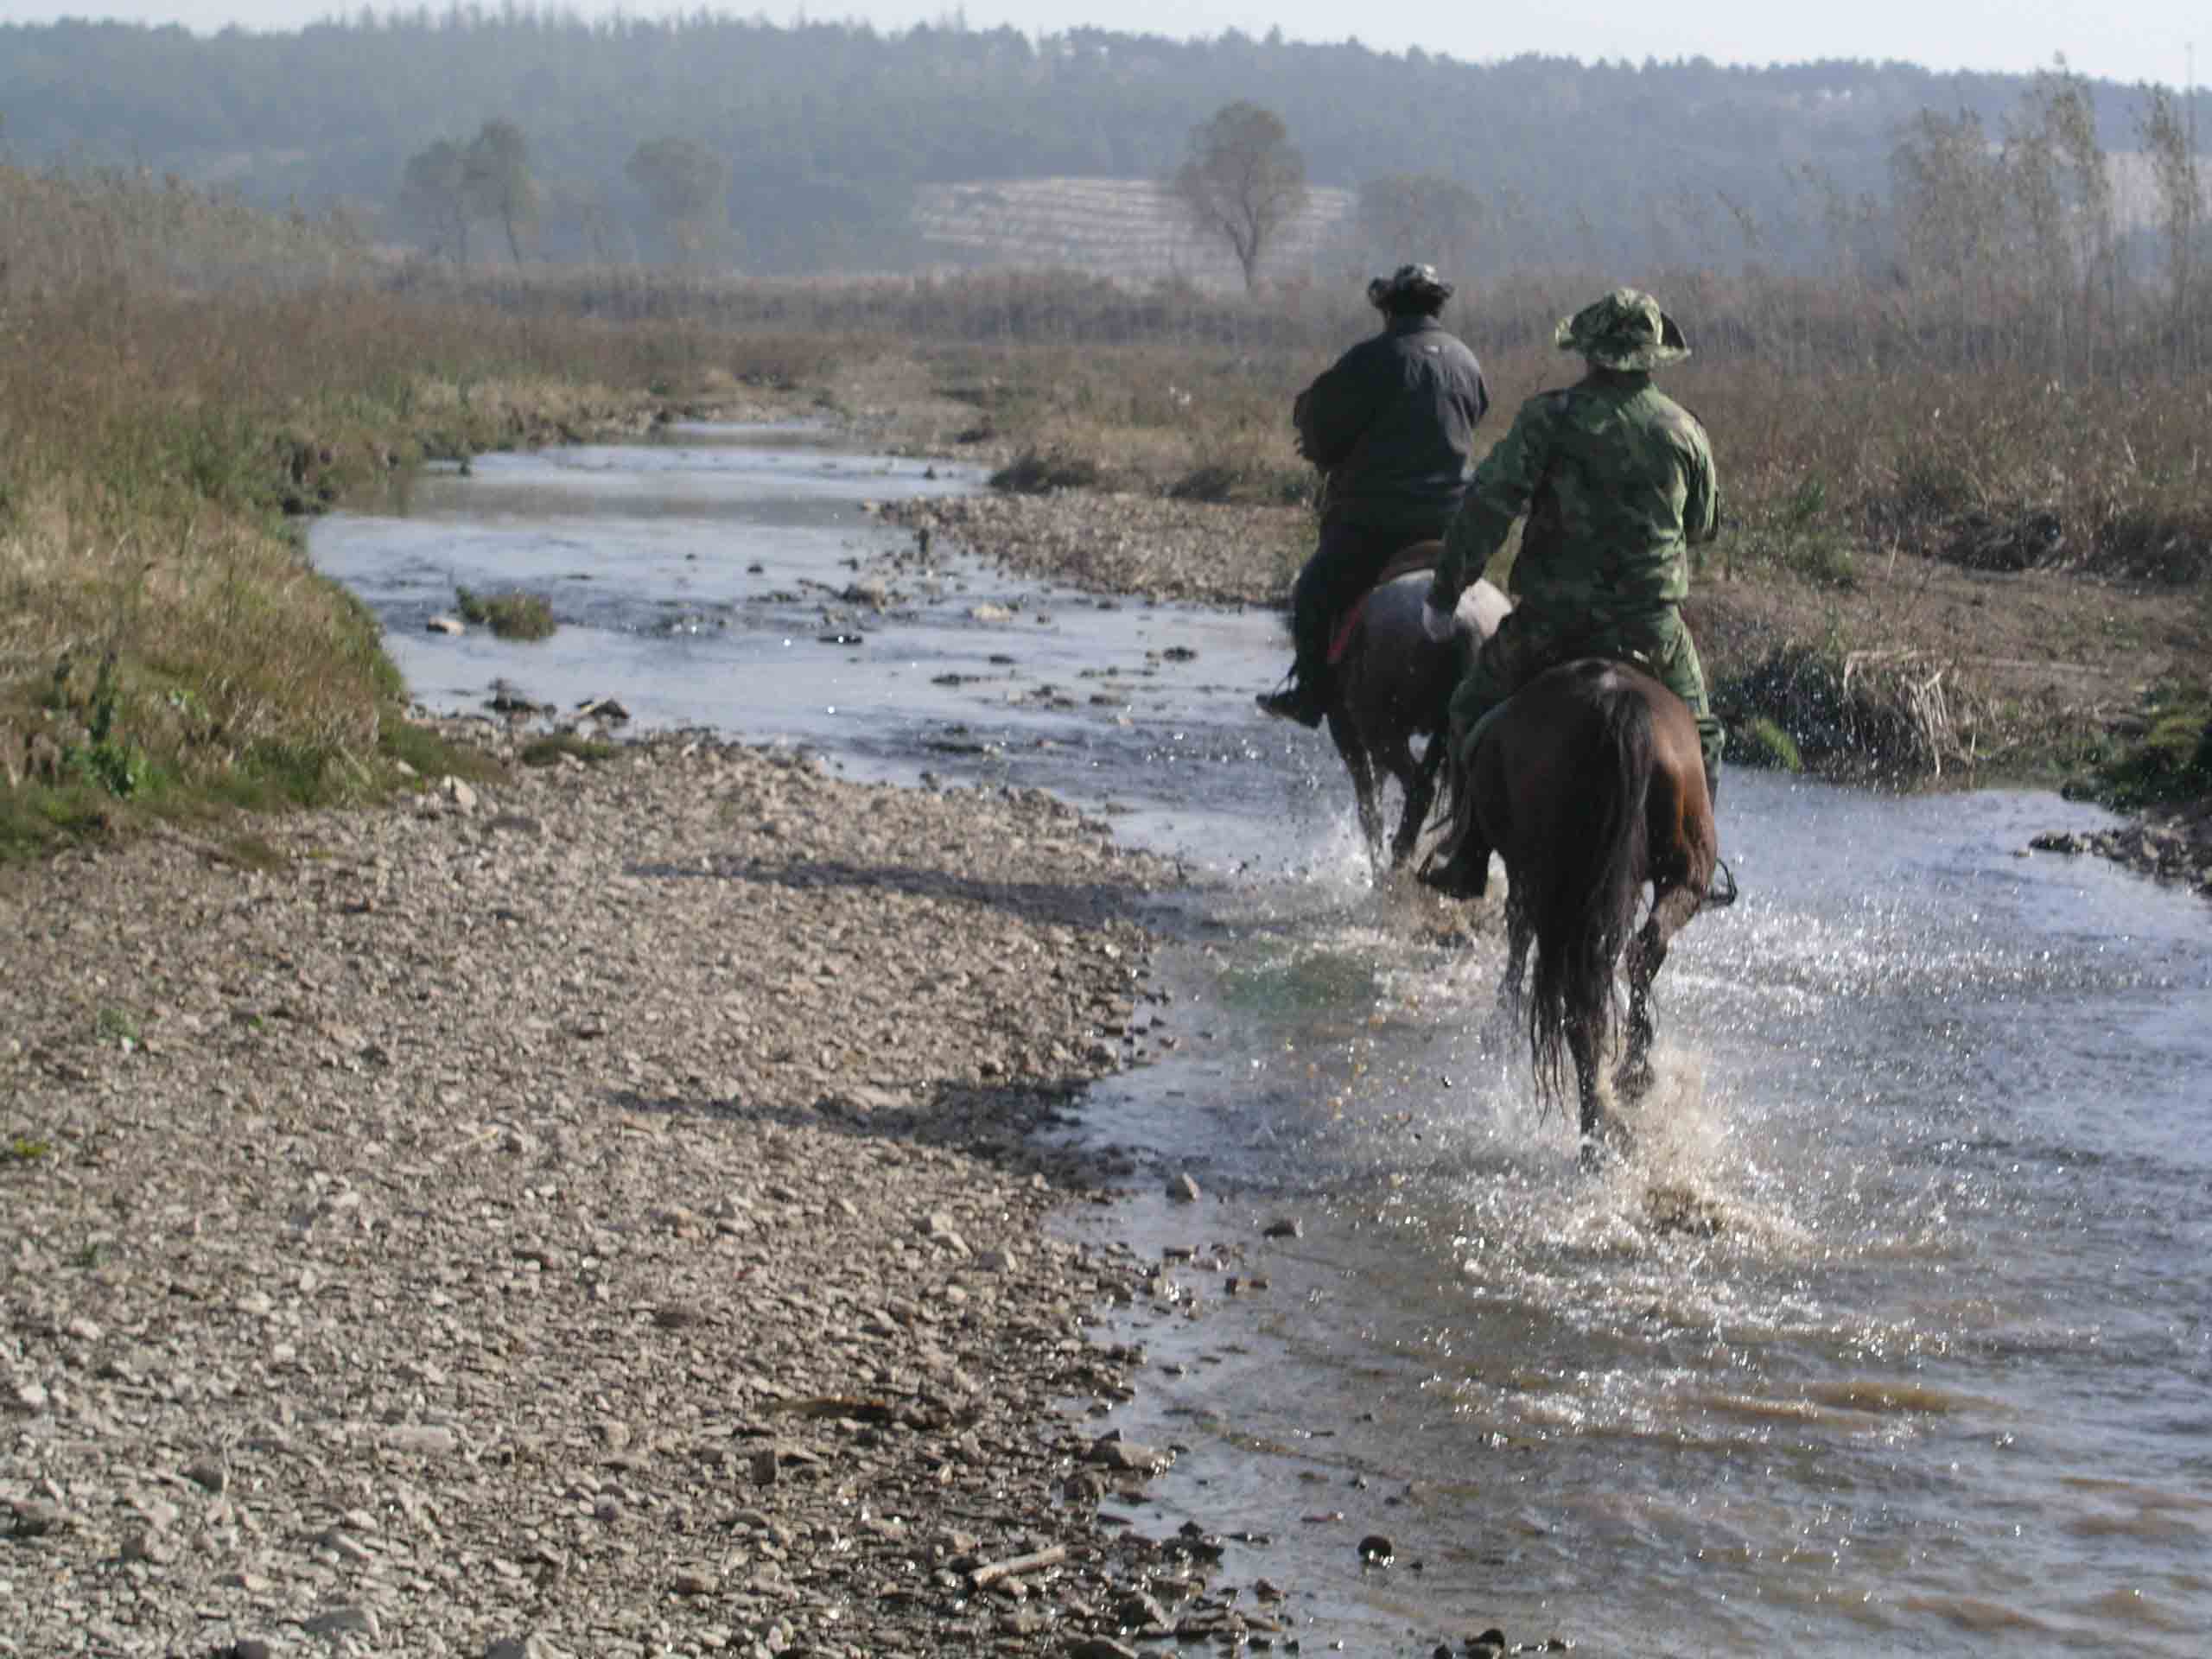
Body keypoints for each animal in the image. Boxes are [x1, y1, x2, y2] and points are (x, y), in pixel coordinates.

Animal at [1318, 559, 1513, 871]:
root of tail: (1465, 621)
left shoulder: (1344, 727)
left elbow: (1369, 806)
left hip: (1380, 731)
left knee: (1418, 792)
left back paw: (1394, 865)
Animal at [1433, 654, 1725, 1159]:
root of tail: (1616, 708)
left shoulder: (1527, 878)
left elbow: (1517, 933)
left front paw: (1500, 1021)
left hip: (1559, 889)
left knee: (1576, 1000)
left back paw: (1598, 1128)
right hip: (1677, 876)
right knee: (1637, 955)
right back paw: (1627, 1083)